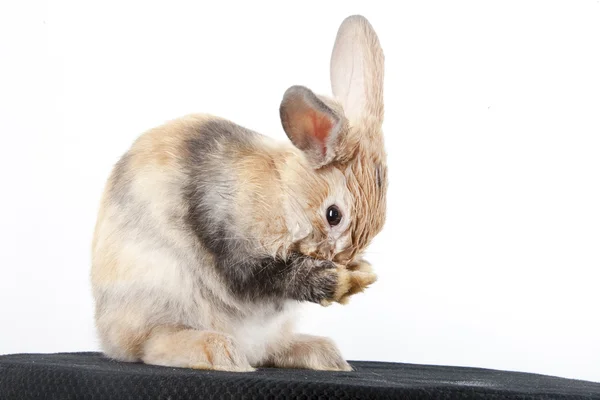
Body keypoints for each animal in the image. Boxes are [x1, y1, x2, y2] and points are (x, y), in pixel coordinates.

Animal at [91, 14, 386, 372]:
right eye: (334, 215)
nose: (340, 261)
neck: (284, 194)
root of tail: (107, 337)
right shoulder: (232, 244)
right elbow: (268, 278)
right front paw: (334, 281)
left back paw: (324, 355)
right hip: (159, 291)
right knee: (151, 345)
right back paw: (219, 352)